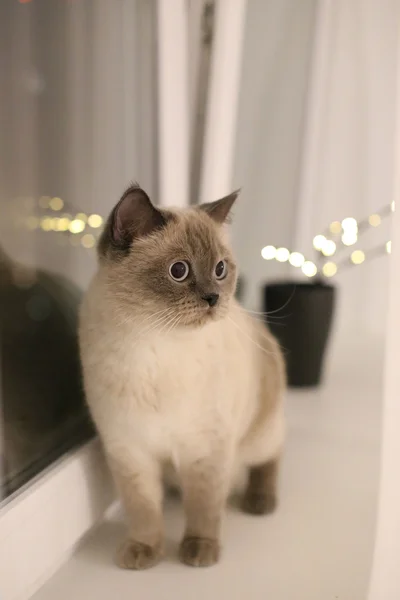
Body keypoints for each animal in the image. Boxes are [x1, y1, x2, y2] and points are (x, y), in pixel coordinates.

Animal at [79, 185, 284, 568]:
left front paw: (199, 550)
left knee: (269, 458)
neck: (155, 346)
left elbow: (203, 507)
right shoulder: (130, 450)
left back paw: (260, 502)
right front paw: (144, 550)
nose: (214, 298)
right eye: (179, 270)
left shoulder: (205, 451)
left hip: (261, 431)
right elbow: (143, 508)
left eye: (220, 269)